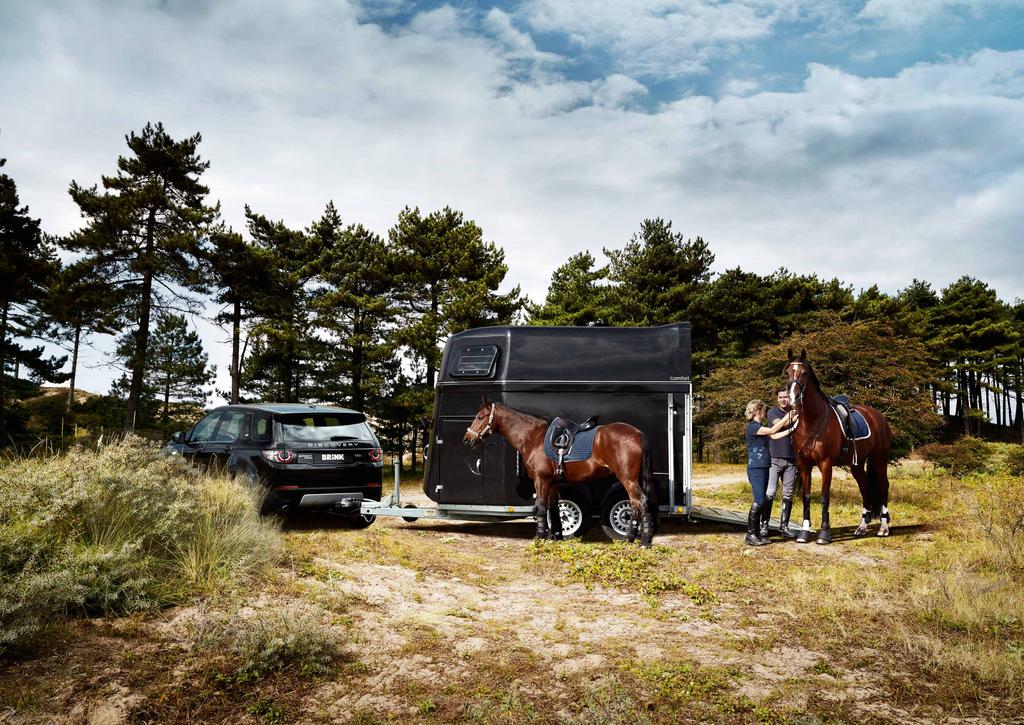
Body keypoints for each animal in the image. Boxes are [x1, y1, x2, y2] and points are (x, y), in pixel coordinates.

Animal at [464, 399, 655, 544]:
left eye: (480, 417)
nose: (467, 440)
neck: (534, 437)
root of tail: (637, 433)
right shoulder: (553, 481)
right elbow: (554, 508)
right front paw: (557, 536)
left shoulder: (541, 479)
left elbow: (541, 508)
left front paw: (539, 537)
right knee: (635, 504)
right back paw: (630, 538)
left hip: (627, 479)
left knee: (641, 501)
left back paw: (644, 540)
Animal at [782, 350, 888, 544]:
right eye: (787, 372)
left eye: (804, 373)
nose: (793, 398)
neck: (812, 422)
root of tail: (878, 417)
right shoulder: (804, 465)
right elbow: (806, 497)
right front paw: (804, 533)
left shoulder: (826, 464)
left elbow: (825, 497)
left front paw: (824, 534)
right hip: (857, 465)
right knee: (866, 489)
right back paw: (862, 527)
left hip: (879, 460)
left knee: (883, 487)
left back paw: (884, 528)